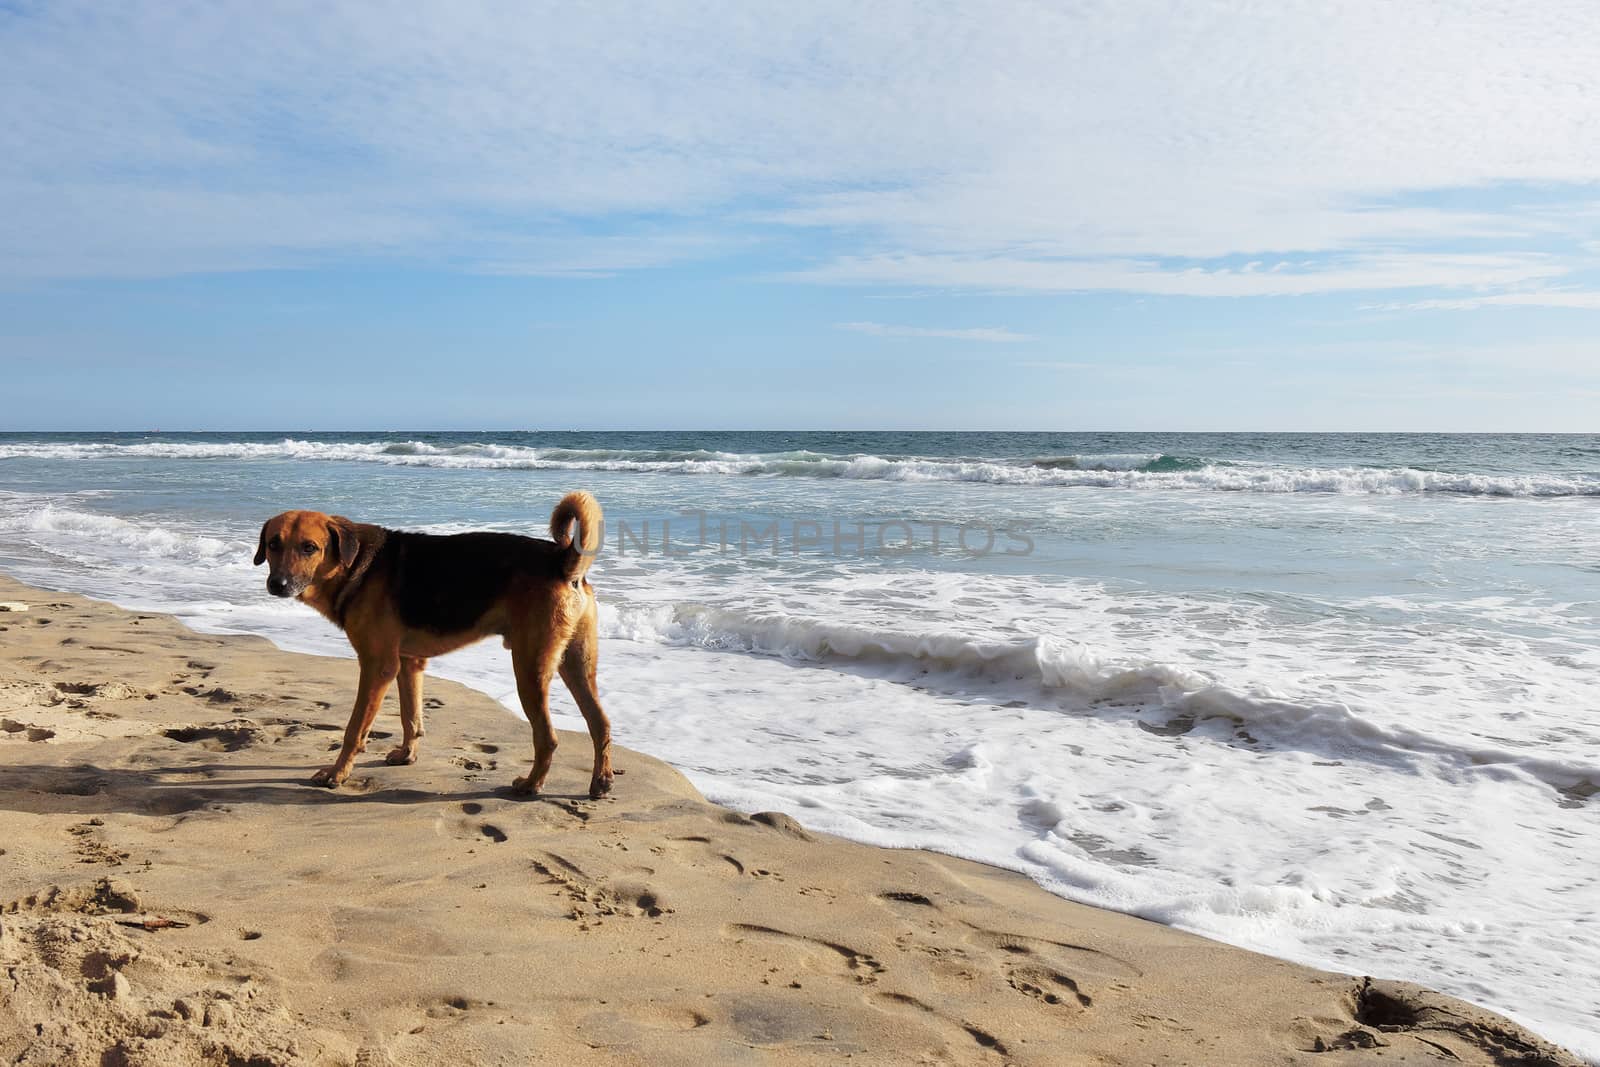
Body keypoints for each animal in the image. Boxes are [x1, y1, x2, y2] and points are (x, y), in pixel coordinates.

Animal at [252, 492, 608, 799]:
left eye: (309, 548)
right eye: (273, 544)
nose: (277, 585)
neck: (354, 565)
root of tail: (562, 560)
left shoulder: (377, 667)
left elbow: (355, 729)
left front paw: (337, 774)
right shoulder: (408, 663)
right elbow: (411, 717)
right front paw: (406, 754)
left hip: (529, 668)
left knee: (548, 738)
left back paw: (532, 785)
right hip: (576, 664)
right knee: (599, 722)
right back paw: (601, 783)